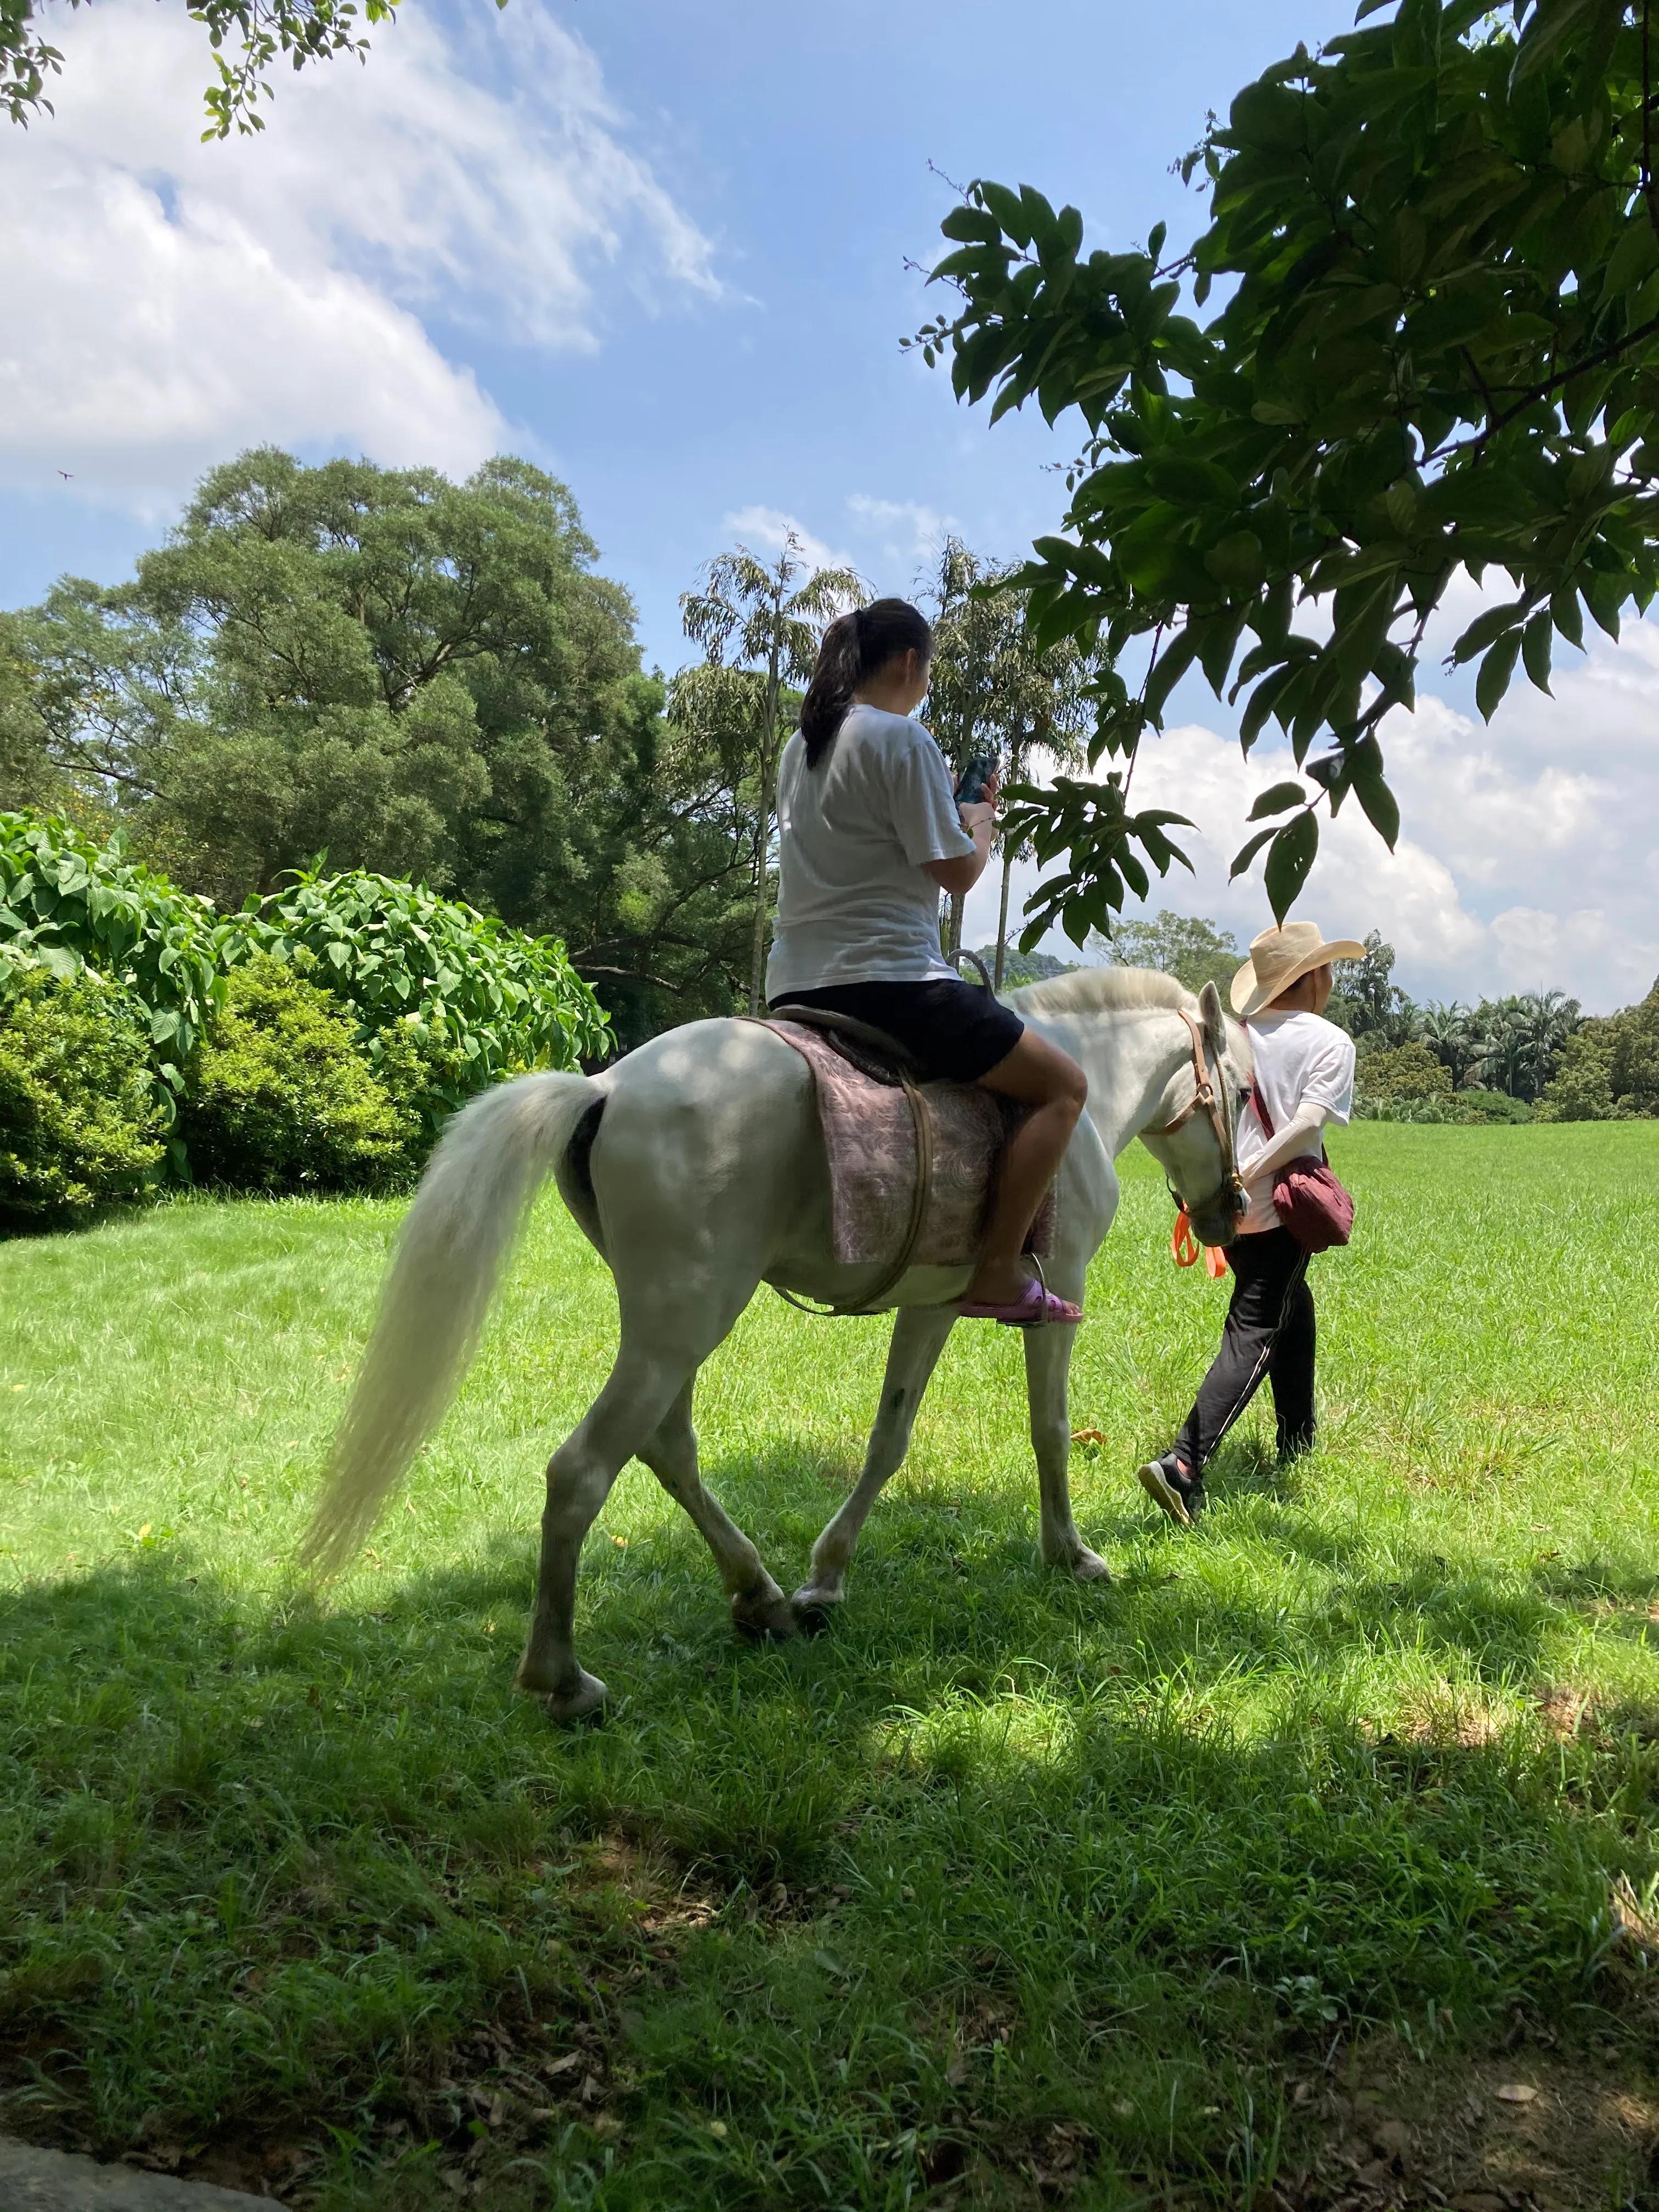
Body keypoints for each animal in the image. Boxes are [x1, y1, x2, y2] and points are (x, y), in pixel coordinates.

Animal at [305, 973, 1256, 1725]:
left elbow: (888, 1439)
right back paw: (564, 1679)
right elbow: (1050, 1431)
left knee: (666, 1446)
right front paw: (1071, 1555)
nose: (1233, 1214)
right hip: (686, 1320)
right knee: (582, 1472)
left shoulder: (932, 1308)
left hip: (674, 1323)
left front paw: (825, 1581)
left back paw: (759, 1596)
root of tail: (606, 1084)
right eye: (1245, 1093)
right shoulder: (1061, 1293)